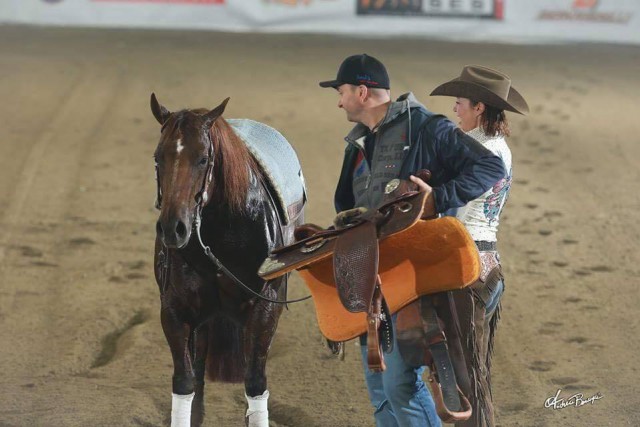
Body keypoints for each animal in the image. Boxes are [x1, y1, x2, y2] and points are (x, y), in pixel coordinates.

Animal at [151, 95, 304, 426]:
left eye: (203, 159)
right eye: (158, 158)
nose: (172, 228)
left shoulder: (264, 311)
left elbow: (255, 383)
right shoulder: (175, 311)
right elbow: (185, 382)